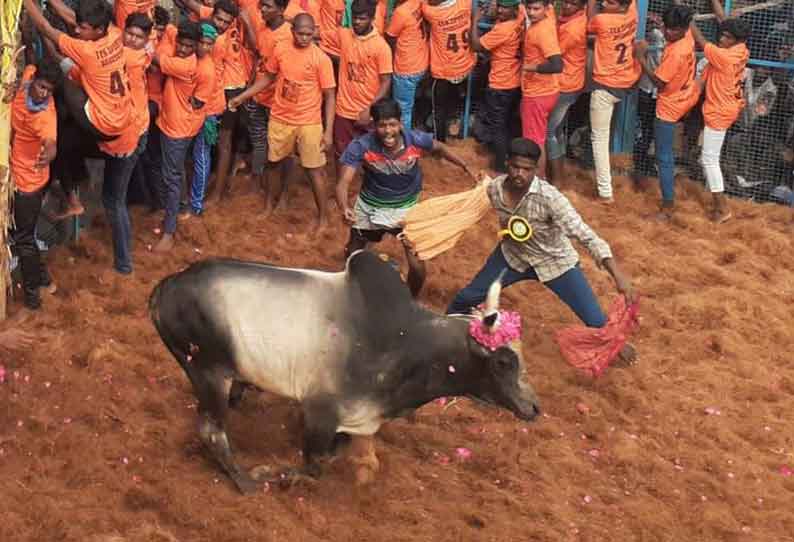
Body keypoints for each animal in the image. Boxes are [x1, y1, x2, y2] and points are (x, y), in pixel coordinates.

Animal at [148, 253, 540, 496]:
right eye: (503, 362)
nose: (534, 407)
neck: (407, 343)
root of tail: (167, 286)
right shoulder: (320, 411)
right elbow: (314, 464)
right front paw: (271, 475)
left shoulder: (352, 422)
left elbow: (332, 457)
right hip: (208, 370)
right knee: (211, 430)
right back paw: (245, 481)